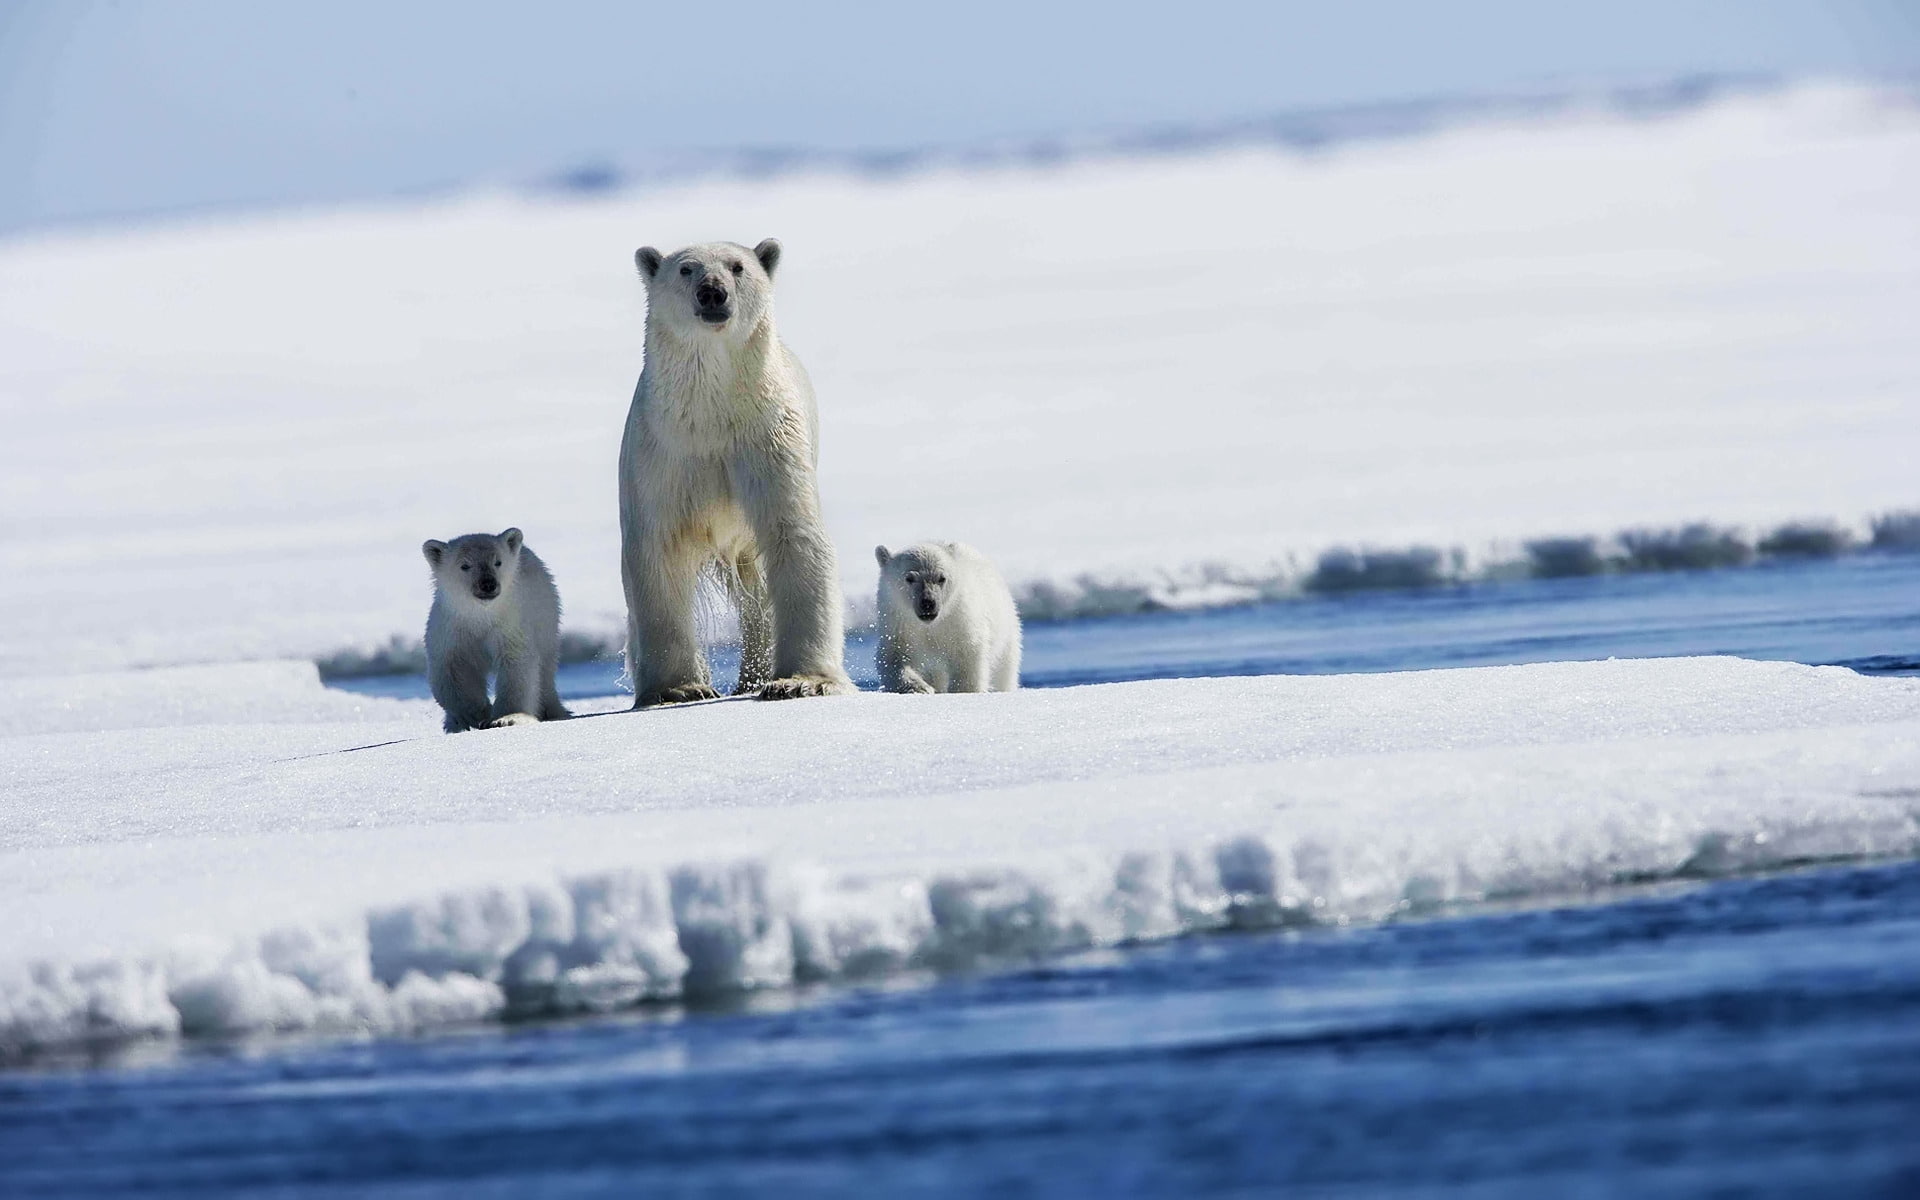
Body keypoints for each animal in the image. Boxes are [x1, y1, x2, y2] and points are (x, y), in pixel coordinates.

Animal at [421, 527, 570, 733]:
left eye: (498, 562)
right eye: (465, 565)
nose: (488, 584)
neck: (481, 616)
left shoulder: (509, 625)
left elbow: (516, 665)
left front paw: (506, 718)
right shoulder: (450, 629)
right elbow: (452, 670)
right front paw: (476, 713)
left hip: (545, 619)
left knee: (546, 669)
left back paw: (552, 710)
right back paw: (453, 724)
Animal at [618, 238, 855, 707]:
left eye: (737, 266)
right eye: (686, 269)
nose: (712, 292)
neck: (712, 414)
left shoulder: (768, 439)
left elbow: (795, 535)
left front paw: (800, 681)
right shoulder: (662, 454)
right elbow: (657, 549)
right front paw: (678, 688)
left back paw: (753, 676)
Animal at [874, 541, 1022, 693]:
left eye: (941, 578)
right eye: (909, 578)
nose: (928, 603)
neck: (930, 625)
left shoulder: (960, 621)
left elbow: (967, 658)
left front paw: (961, 691)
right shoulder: (899, 624)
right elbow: (893, 658)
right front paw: (921, 688)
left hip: (1006, 635)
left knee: (1004, 673)